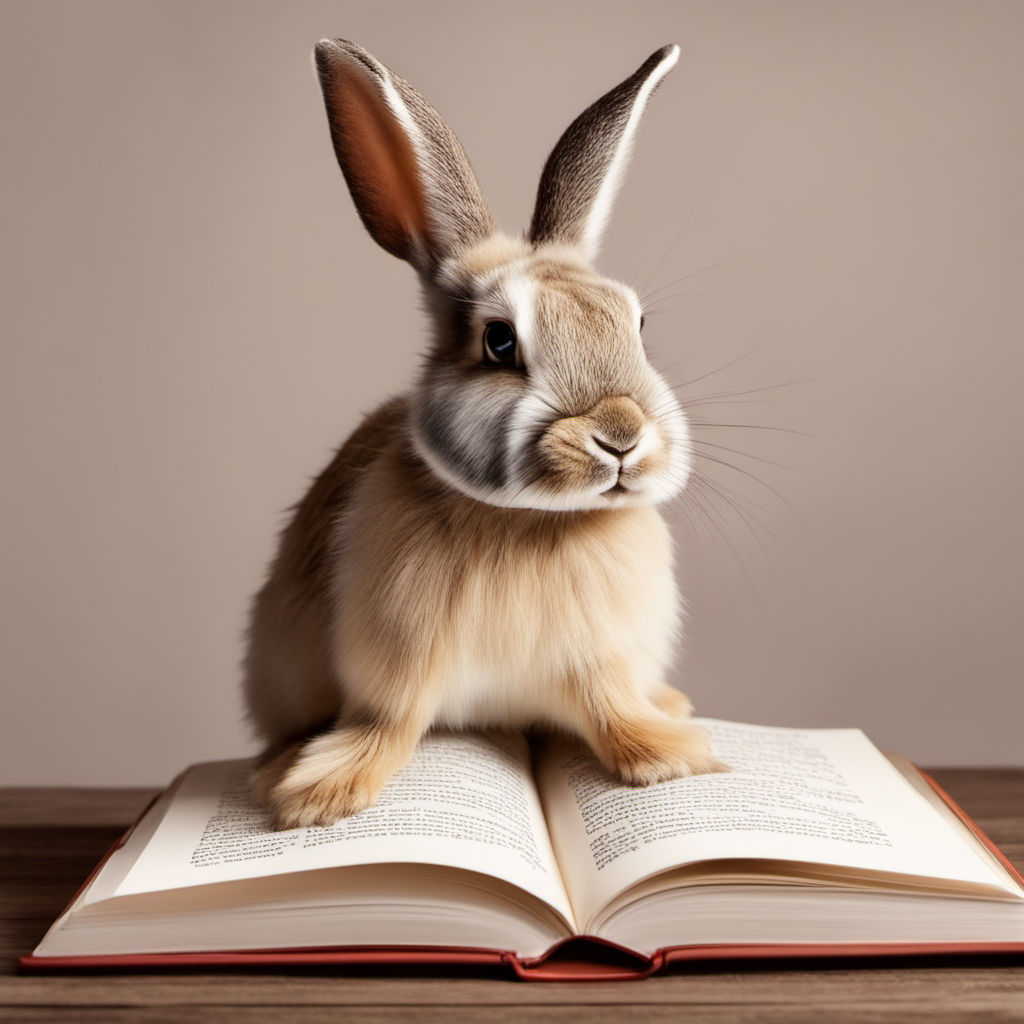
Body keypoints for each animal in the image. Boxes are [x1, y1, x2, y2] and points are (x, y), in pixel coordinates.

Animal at [244, 37, 729, 831]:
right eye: (500, 342)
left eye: (637, 325)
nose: (620, 434)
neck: (532, 522)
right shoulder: (398, 660)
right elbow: (387, 721)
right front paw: (321, 794)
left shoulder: (598, 656)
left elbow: (610, 709)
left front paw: (669, 758)